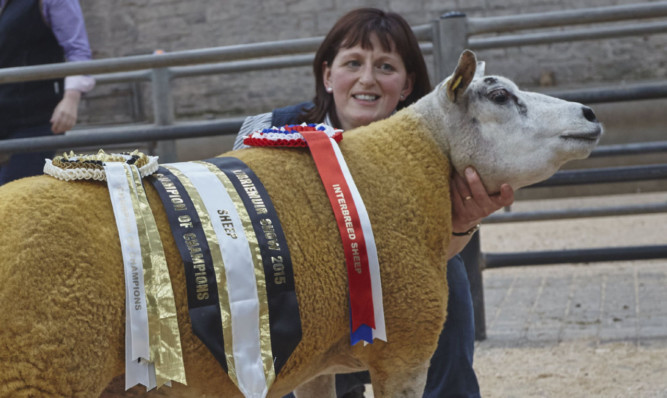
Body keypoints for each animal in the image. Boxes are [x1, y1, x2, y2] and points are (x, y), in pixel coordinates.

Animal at [0, 50, 604, 398]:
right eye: (500, 95)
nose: (591, 115)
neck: (409, 168)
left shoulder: (317, 361)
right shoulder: (405, 349)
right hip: (38, 368)